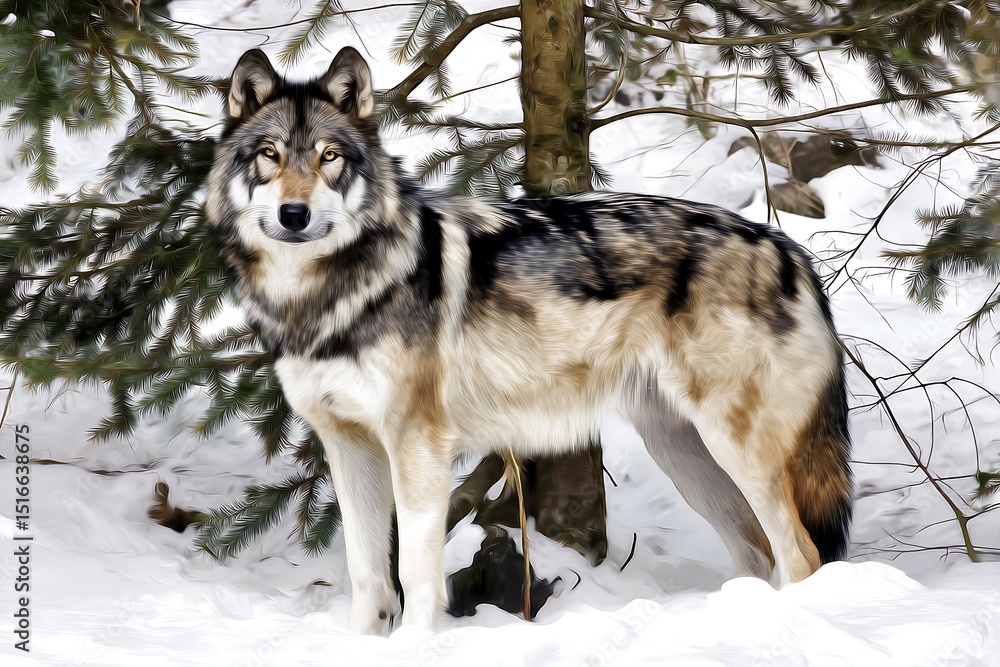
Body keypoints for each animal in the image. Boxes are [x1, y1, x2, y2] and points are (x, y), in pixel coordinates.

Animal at [206, 47, 853, 635]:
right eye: (269, 155)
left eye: (330, 156)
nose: (294, 214)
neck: (325, 296)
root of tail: (789, 250)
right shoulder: (348, 445)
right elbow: (368, 575)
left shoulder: (417, 448)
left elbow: (414, 574)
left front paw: (415, 646)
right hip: (681, 451)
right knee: (755, 552)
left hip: (735, 449)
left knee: (801, 555)